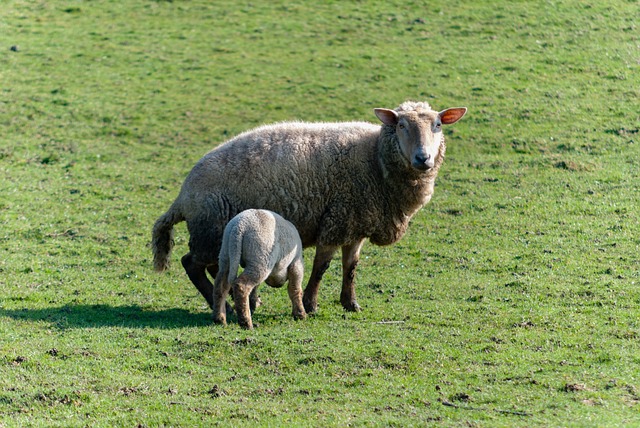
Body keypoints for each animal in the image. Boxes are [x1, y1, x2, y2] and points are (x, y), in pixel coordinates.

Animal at [152, 100, 468, 314]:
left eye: (438, 125)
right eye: (401, 125)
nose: (423, 158)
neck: (375, 158)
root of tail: (182, 196)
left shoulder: (355, 225)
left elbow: (351, 267)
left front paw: (350, 303)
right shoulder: (335, 220)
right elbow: (321, 267)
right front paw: (310, 303)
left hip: (217, 233)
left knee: (212, 266)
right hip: (209, 228)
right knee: (192, 264)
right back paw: (226, 307)